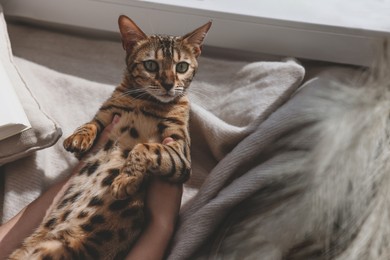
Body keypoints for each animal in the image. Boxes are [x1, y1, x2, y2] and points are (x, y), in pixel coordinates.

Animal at [7, 15, 212, 258]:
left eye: (182, 67)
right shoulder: (108, 115)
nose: (169, 85)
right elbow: (92, 123)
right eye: (151, 65)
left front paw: (126, 180)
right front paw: (78, 138)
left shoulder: (181, 155)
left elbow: (144, 148)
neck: (146, 102)